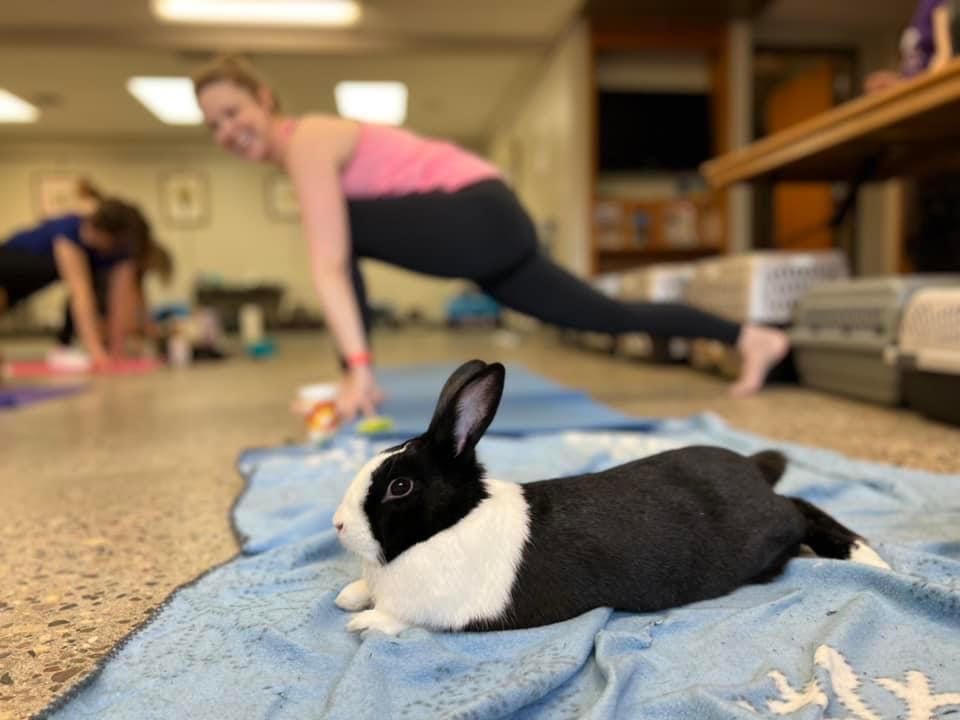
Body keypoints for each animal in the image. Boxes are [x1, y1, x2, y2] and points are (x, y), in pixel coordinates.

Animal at [334, 362, 888, 632]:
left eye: (400, 487)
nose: (337, 526)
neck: (452, 522)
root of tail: (753, 469)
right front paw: (349, 597)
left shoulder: (444, 608)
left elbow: (398, 618)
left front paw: (363, 622)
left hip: (769, 532)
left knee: (802, 511)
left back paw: (868, 556)